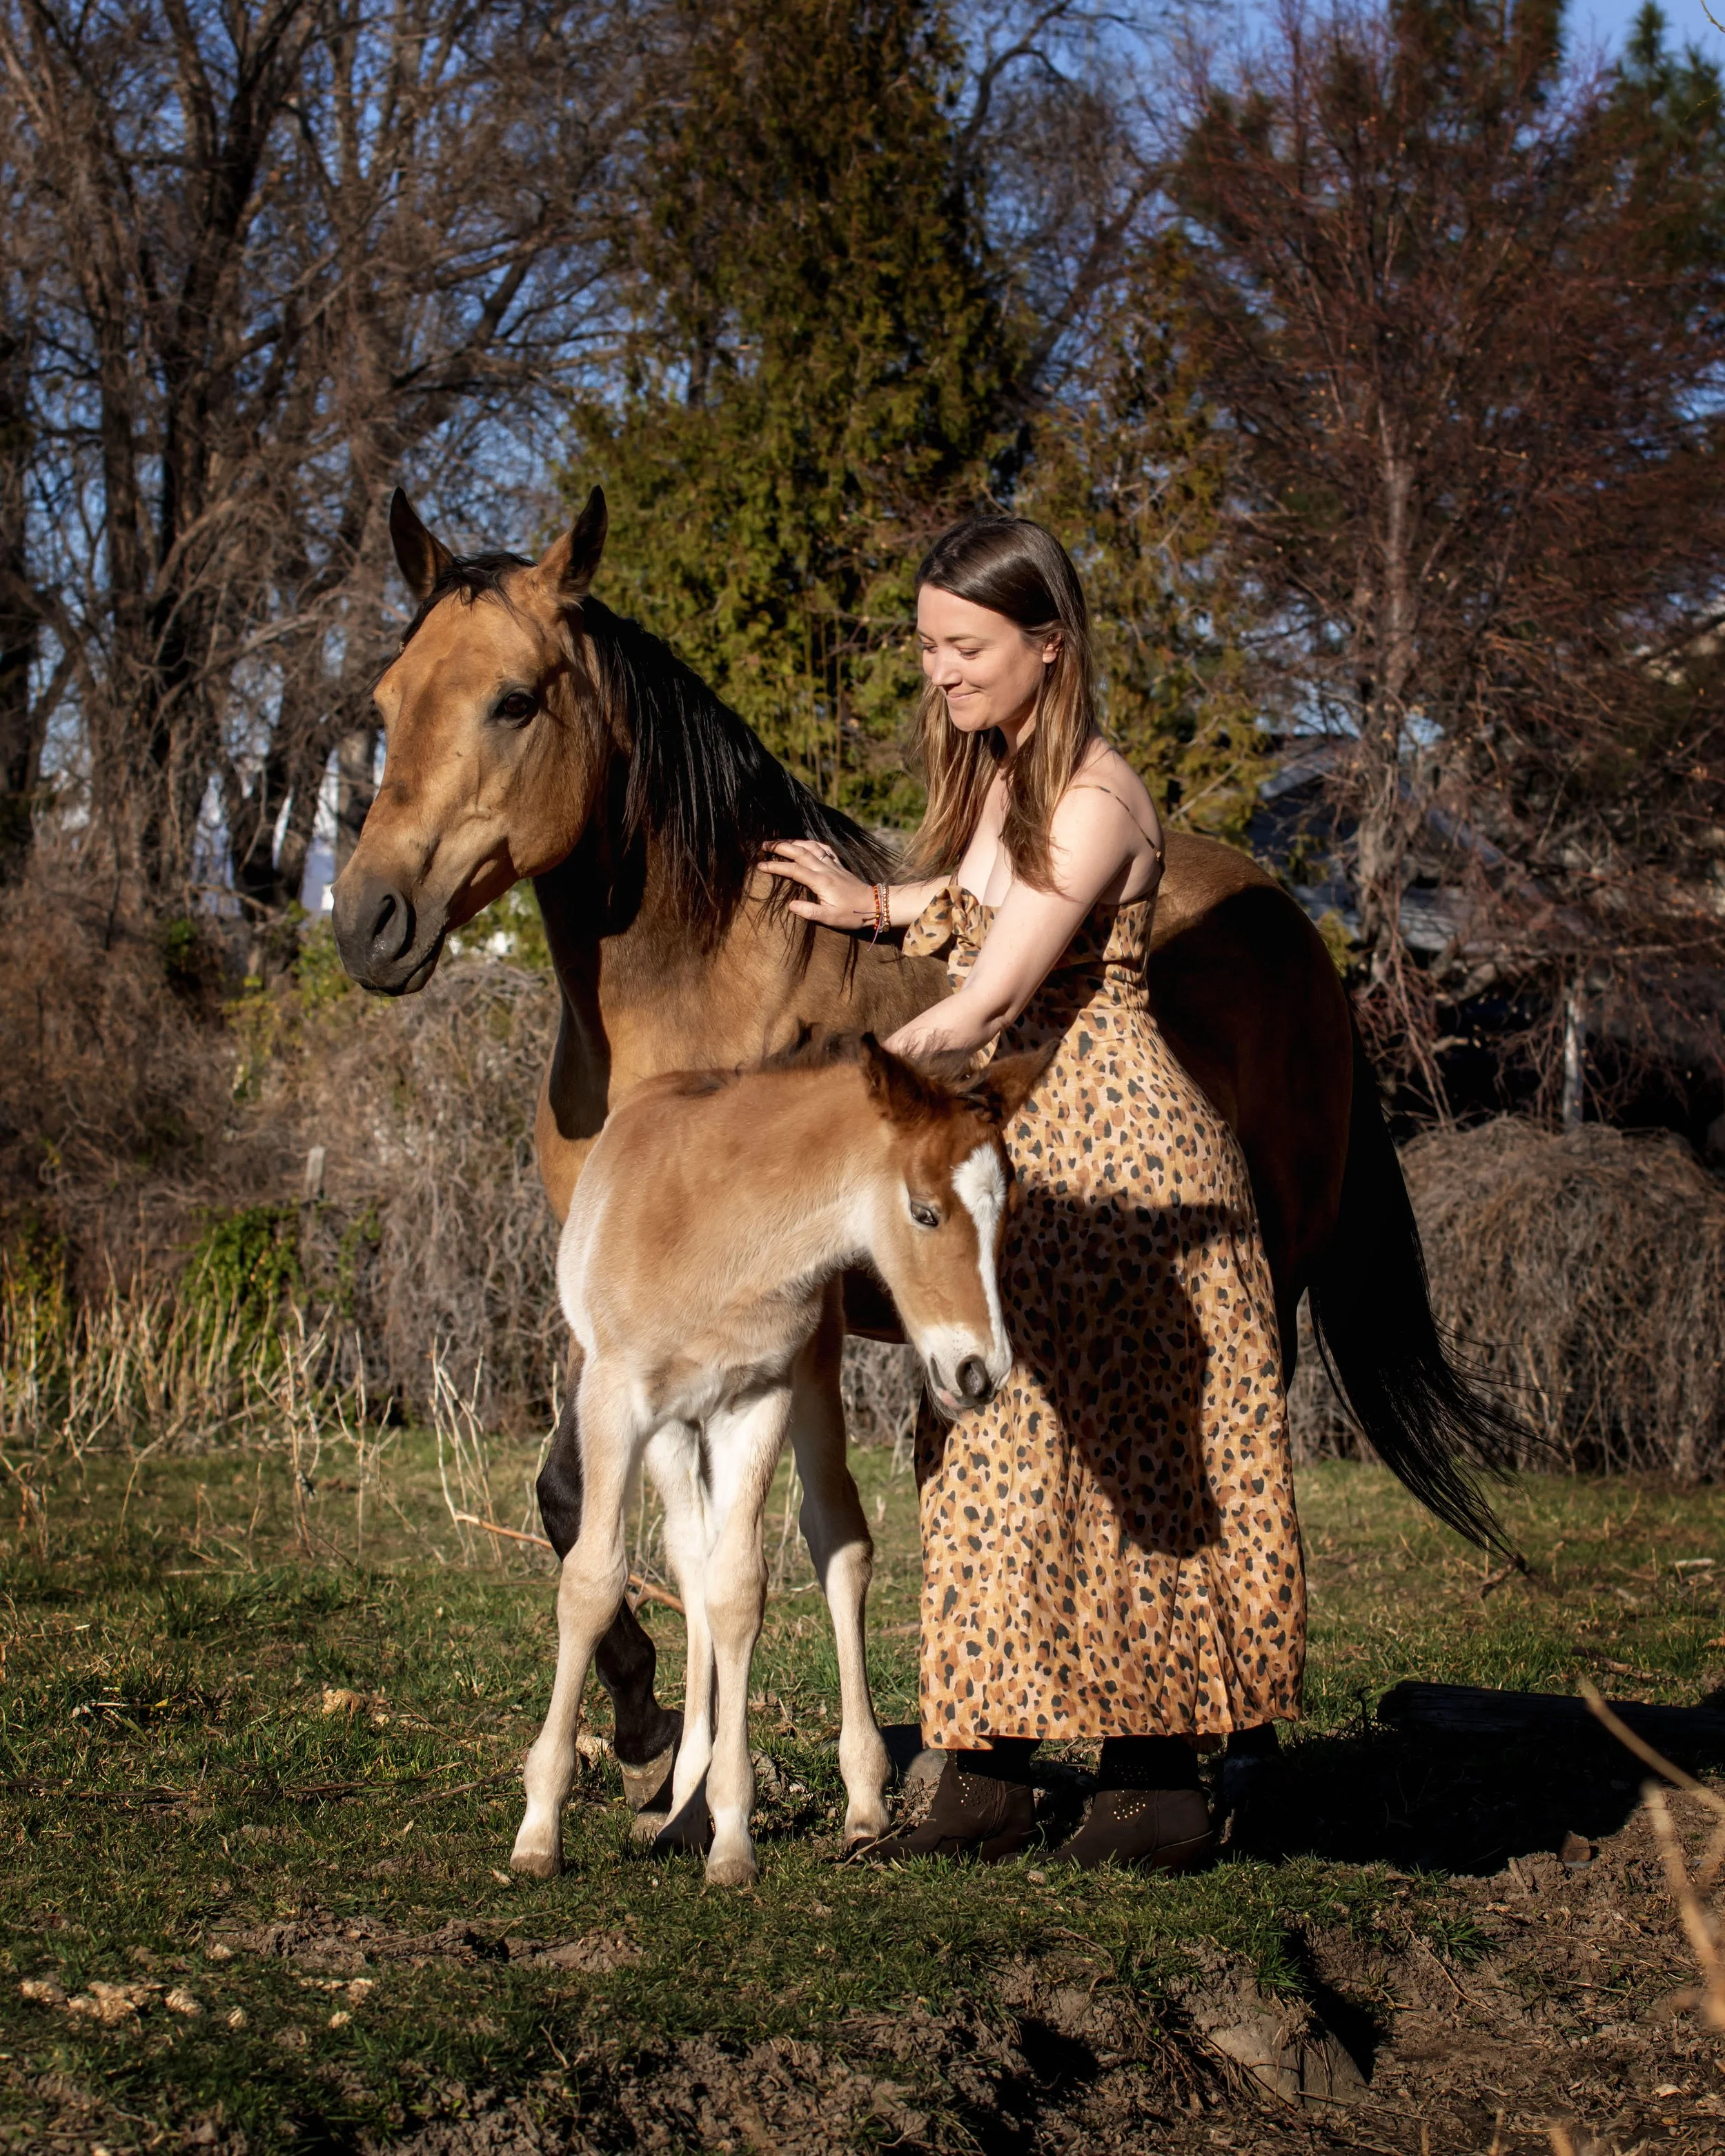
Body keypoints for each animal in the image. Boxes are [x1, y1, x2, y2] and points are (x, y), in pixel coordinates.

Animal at [510, 1032, 1048, 1886]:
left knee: (836, 1541)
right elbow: (594, 1580)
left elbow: (738, 1590)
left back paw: (858, 1800)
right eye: (924, 1210)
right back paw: (681, 1795)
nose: (979, 1372)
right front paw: (539, 1829)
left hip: (811, 1384)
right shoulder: (613, 1396)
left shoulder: (755, 1398)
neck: (709, 1226)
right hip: (672, 1428)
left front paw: (732, 1834)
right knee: (687, 1553)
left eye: (1005, 1216)